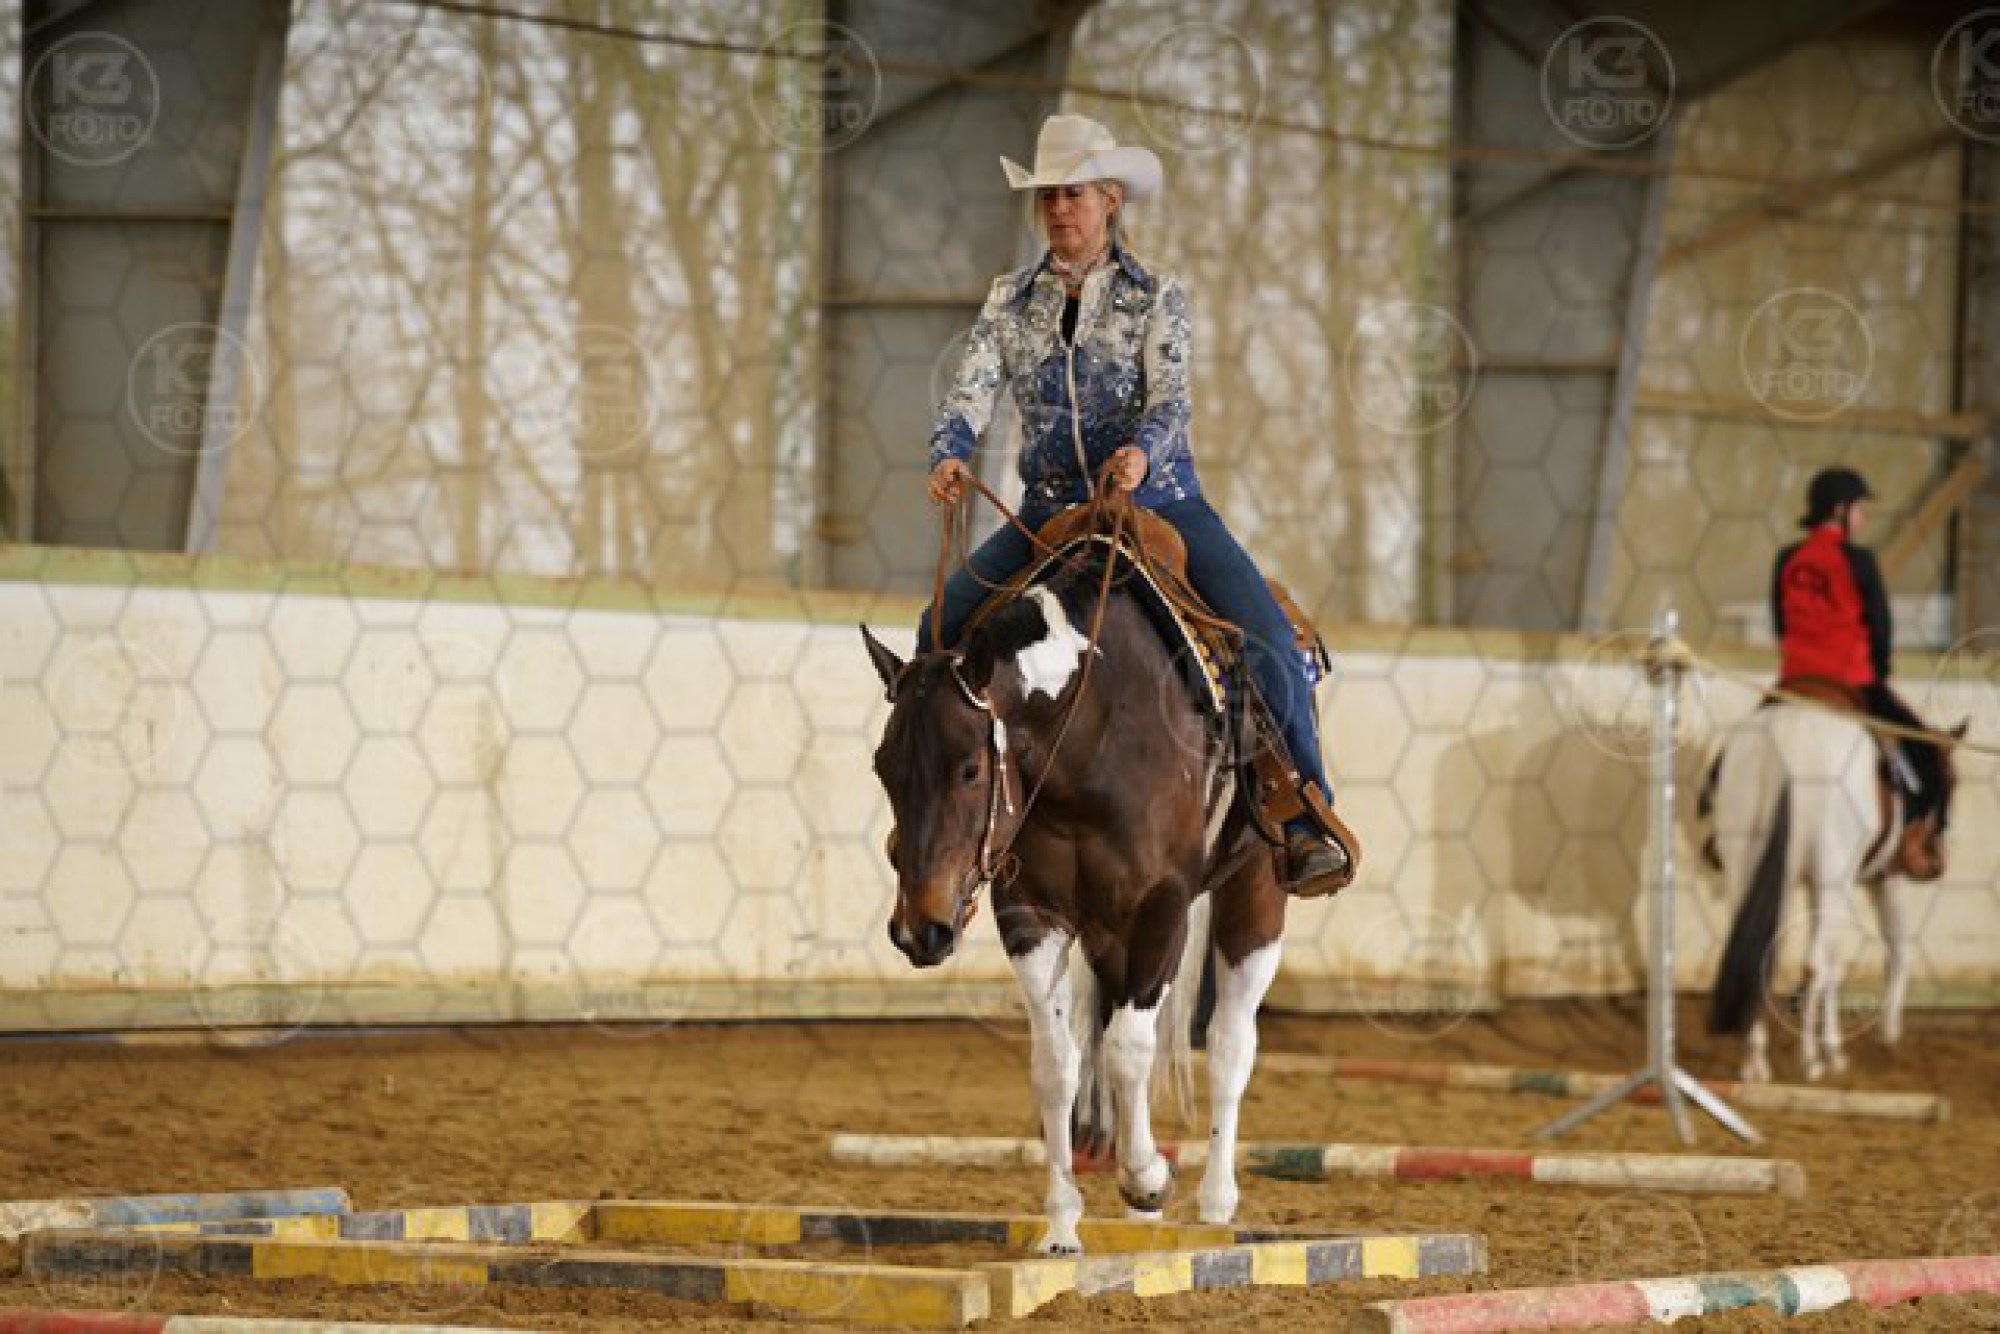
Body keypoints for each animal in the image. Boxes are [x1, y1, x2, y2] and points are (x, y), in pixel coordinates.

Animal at [861, 542, 1288, 1253]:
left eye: (970, 769)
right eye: (883, 769)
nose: (920, 929)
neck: (1091, 733)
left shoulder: (1163, 906)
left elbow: (1129, 1048)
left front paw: (1146, 1177)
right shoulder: (1030, 912)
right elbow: (1058, 1062)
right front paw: (1062, 1223)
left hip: (1254, 893)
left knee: (1230, 1043)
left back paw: (1214, 1200)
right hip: (1108, 933)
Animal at [1704, 695, 1962, 1083]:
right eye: (1950, 780)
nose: (1934, 863)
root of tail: (1787, 735)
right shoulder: (1883, 880)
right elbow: (1889, 953)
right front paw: (1866, 1042)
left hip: (1746, 866)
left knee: (1761, 954)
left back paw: (1754, 1063)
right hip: (1832, 877)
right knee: (1814, 965)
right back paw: (1809, 1061)